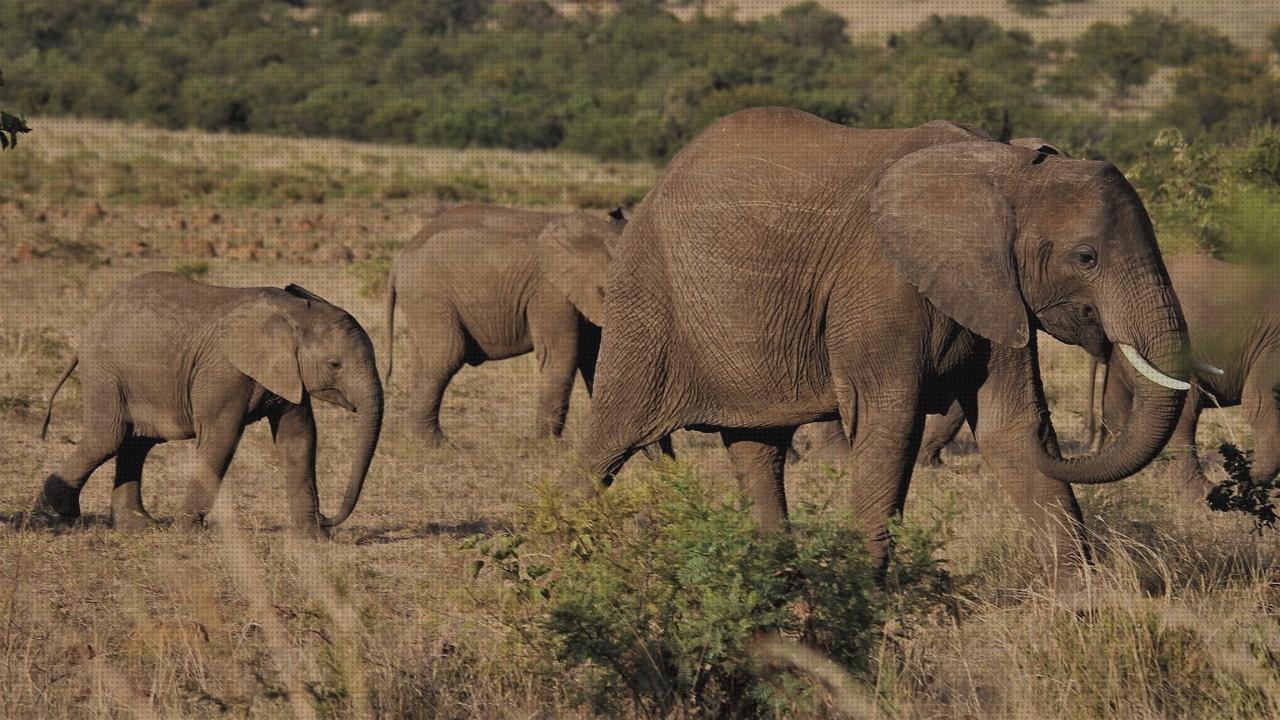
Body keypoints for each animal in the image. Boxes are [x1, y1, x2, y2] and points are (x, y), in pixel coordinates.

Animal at [36, 271, 378, 535]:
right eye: (335, 364)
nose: (327, 518)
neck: (295, 312)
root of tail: (95, 317)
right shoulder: (224, 372)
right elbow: (221, 438)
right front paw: (187, 531)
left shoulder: (288, 374)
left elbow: (299, 438)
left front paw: (313, 539)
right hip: (105, 371)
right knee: (107, 439)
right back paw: (57, 513)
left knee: (136, 442)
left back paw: (138, 526)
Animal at [384, 202, 670, 450]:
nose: (664, 459)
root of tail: (398, 261)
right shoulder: (549, 290)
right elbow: (561, 356)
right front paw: (549, 446)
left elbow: (594, 358)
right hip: (429, 295)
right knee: (446, 356)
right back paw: (437, 444)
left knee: (425, 361)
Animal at [578, 107, 1187, 576]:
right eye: (1086, 257)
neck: (1005, 172)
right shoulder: (882, 282)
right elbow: (890, 424)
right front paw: (863, 608)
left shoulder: (995, 290)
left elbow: (1010, 428)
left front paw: (1084, 604)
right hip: (647, 300)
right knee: (606, 440)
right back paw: (560, 558)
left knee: (758, 450)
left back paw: (780, 584)